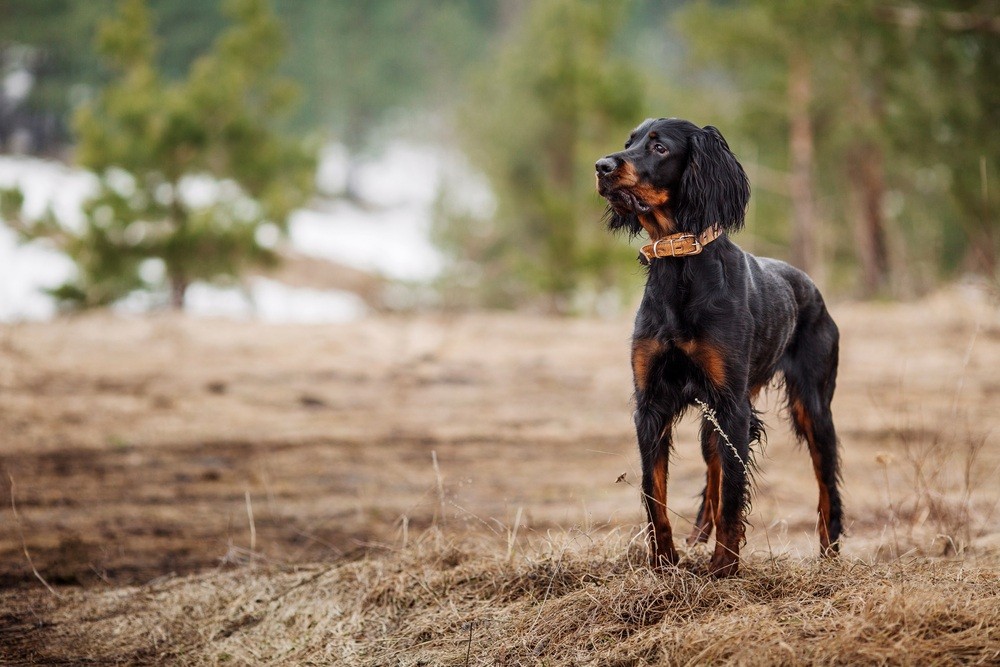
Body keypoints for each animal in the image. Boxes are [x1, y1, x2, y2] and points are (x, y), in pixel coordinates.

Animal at [596, 117, 840, 576]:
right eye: (629, 141)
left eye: (659, 147)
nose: (601, 166)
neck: (681, 265)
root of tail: (809, 283)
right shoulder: (652, 404)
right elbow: (654, 491)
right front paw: (664, 562)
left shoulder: (733, 406)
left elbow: (733, 492)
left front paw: (724, 567)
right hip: (716, 417)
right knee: (713, 469)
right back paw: (696, 536)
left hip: (813, 406)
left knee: (826, 479)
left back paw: (830, 551)